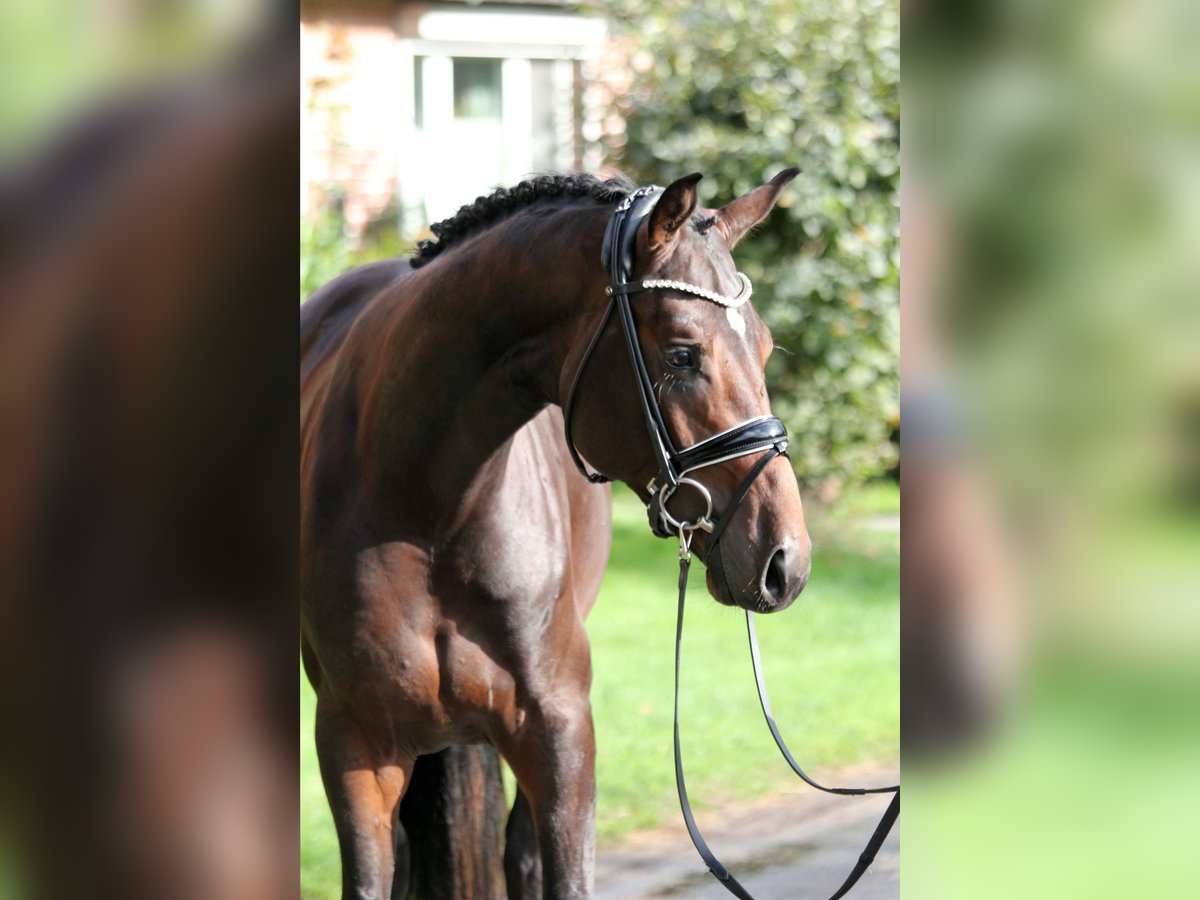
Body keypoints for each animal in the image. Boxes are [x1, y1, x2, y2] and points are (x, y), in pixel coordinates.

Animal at [297, 165, 816, 897]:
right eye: (683, 354)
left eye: (767, 346)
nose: (785, 561)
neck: (428, 505)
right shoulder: (354, 745)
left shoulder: (560, 734)